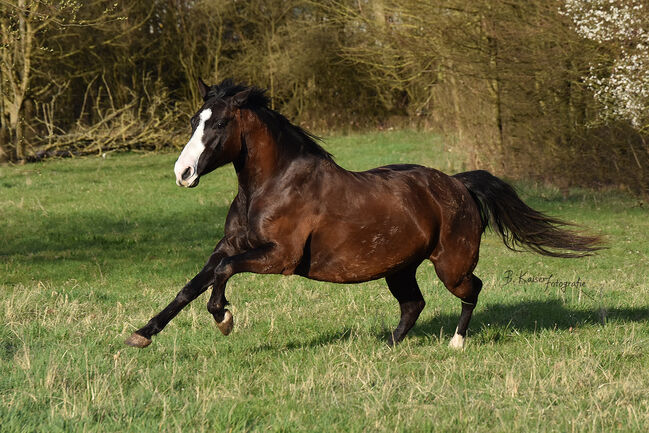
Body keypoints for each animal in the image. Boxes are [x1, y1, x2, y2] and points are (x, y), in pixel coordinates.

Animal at [123, 78, 604, 348]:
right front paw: (141, 334)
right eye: (193, 121)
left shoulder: (279, 258)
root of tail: (458, 184)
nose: (182, 174)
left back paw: (455, 344)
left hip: (450, 265)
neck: (273, 185)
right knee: (414, 304)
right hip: (399, 267)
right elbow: (192, 285)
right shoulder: (231, 245)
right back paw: (387, 345)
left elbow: (221, 274)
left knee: (472, 290)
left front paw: (224, 318)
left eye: (219, 124)